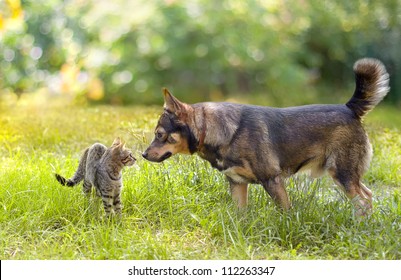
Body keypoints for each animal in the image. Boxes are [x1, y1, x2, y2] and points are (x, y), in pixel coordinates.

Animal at [142, 58, 390, 217]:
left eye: (160, 134)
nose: (143, 154)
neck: (223, 132)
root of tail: (349, 108)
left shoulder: (272, 180)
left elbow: (285, 212)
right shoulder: (238, 184)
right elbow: (240, 215)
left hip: (342, 173)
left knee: (364, 200)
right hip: (344, 175)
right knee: (366, 197)